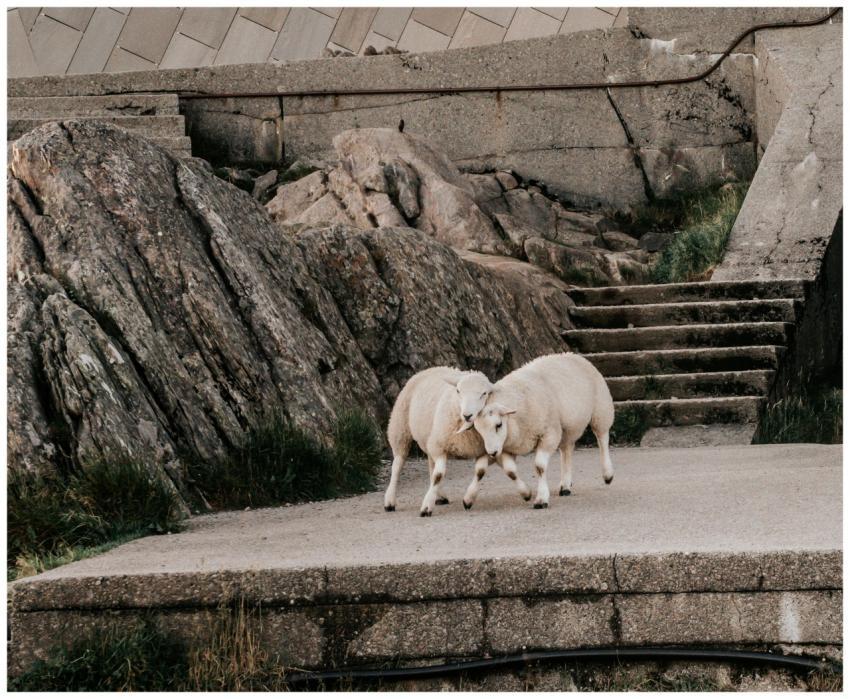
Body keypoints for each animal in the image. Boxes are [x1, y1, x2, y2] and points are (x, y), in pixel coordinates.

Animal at [384, 366, 532, 516]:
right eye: (458, 391)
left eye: (484, 393)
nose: (467, 415)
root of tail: (430, 369)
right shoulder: (440, 446)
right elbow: (438, 475)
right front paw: (426, 507)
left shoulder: (481, 450)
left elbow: (482, 471)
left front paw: (525, 492)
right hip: (400, 428)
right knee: (397, 464)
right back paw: (390, 501)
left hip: (428, 439)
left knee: (431, 464)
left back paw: (439, 496)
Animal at [462, 353, 614, 510]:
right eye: (479, 431)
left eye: (498, 425)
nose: (492, 452)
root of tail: (573, 355)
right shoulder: (507, 446)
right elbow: (497, 470)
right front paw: (469, 498)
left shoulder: (548, 434)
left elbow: (539, 467)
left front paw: (541, 499)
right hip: (567, 428)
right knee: (566, 450)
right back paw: (565, 486)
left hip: (601, 409)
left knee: (602, 438)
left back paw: (607, 474)